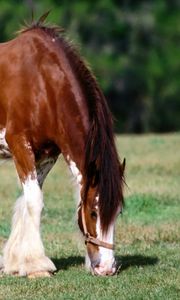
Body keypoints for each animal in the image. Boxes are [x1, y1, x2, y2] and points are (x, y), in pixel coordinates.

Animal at [0, 15, 124, 278]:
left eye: (118, 212)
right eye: (93, 212)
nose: (107, 268)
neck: (42, 83)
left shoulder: (47, 155)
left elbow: (27, 200)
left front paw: (15, 262)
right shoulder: (19, 145)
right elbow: (34, 201)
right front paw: (37, 266)